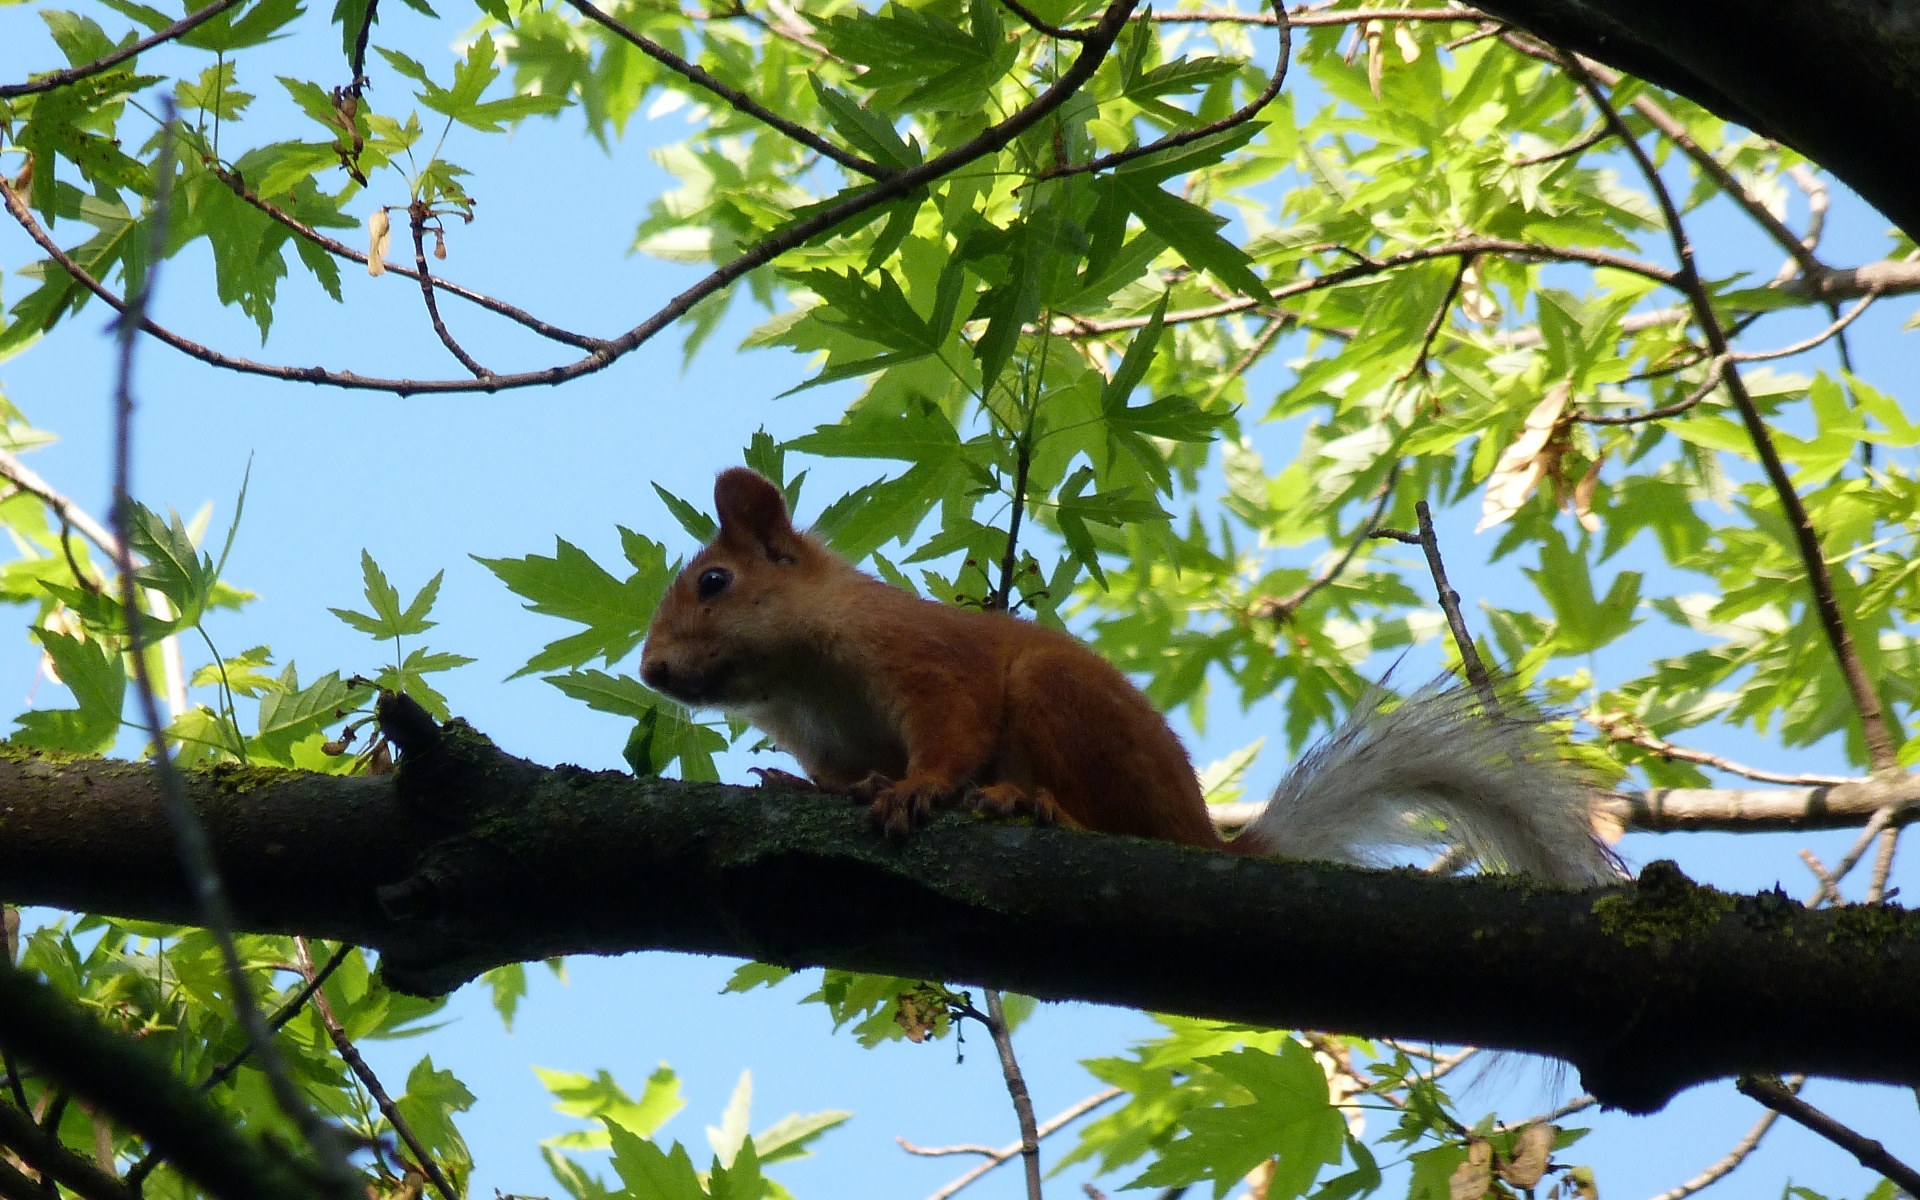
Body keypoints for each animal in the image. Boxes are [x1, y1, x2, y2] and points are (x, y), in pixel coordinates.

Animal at [639, 467, 1617, 886]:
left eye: (714, 582)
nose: (649, 670)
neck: (800, 680)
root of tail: (1204, 838)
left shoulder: (927, 659)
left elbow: (951, 731)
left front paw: (916, 790)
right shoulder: (825, 739)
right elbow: (836, 777)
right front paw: (792, 784)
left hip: (1062, 706)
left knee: (1114, 826)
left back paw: (1030, 804)